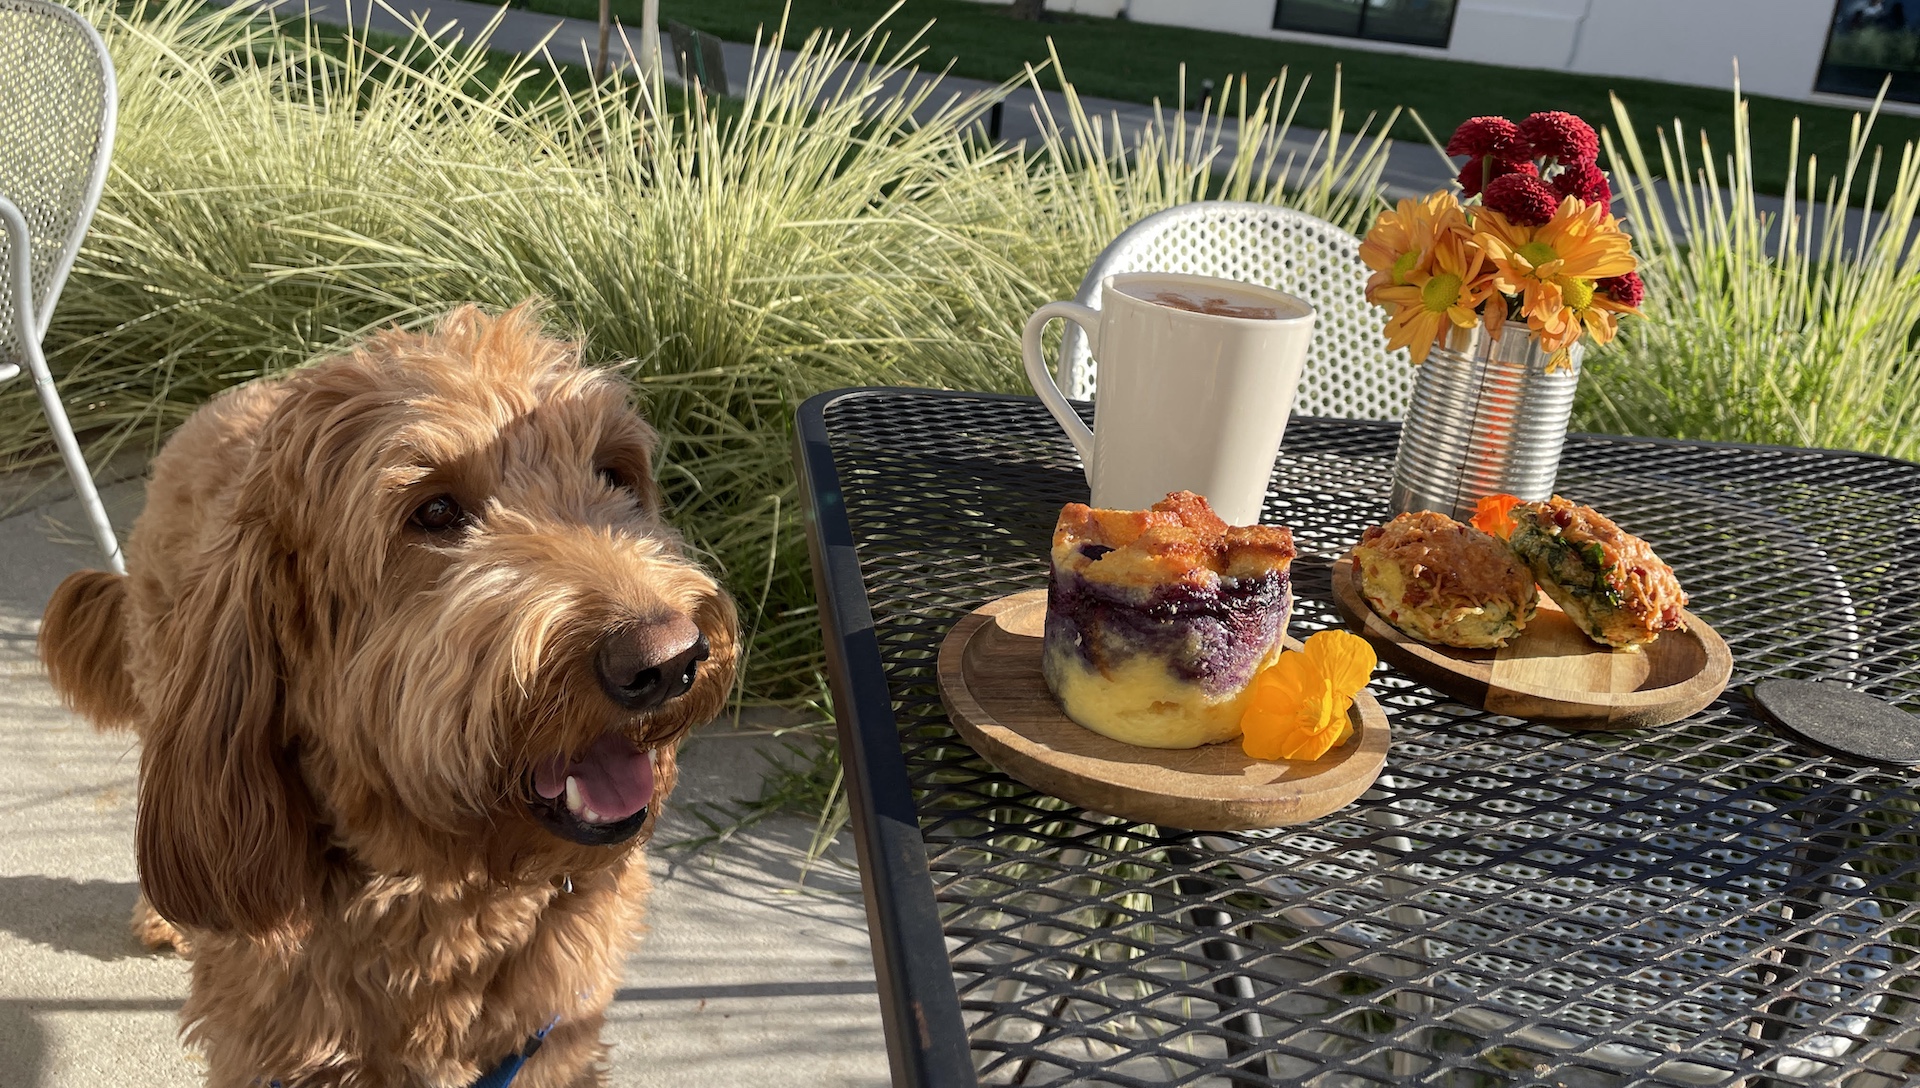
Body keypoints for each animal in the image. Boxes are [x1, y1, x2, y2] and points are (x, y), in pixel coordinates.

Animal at [39, 305, 741, 1088]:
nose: (668, 661)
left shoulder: (550, 1035)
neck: (442, 882)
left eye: (614, 474)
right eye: (434, 511)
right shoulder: (269, 1044)